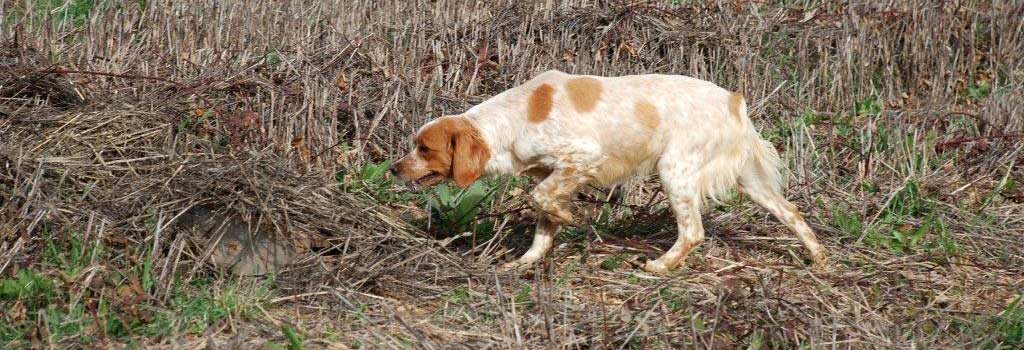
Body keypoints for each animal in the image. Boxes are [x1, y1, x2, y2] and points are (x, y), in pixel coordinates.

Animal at [387, 70, 827, 274]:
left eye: (424, 149)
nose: (393, 169)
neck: (514, 120)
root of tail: (734, 102)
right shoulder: (554, 174)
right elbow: (542, 222)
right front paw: (526, 262)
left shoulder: (582, 156)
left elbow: (540, 200)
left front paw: (571, 218)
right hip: (752, 183)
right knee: (793, 213)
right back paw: (819, 256)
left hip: (674, 170)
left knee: (693, 232)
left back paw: (660, 265)